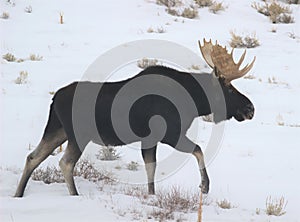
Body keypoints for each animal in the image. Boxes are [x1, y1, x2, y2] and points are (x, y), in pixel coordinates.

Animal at [15, 40, 255, 198]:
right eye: (230, 88)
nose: (250, 108)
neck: (194, 102)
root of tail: (55, 98)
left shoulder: (150, 139)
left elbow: (151, 167)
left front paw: (152, 196)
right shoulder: (171, 133)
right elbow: (198, 150)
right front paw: (204, 186)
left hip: (57, 129)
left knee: (33, 157)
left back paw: (18, 194)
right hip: (77, 134)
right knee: (65, 163)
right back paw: (75, 195)